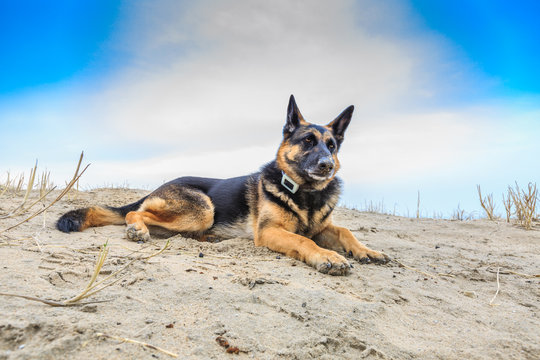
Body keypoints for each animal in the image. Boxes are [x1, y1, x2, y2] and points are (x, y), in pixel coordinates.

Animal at [58, 95, 388, 276]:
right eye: (308, 141)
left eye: (331, 146)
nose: (327, 165)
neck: (307, 194)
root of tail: (157, 189)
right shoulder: (270, 232)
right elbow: (303, 241)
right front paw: (327, 257)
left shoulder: (323, 227)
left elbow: (345, 231)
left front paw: (367, 251)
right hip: (203, 209)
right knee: (134, 213)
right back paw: (137, 228)